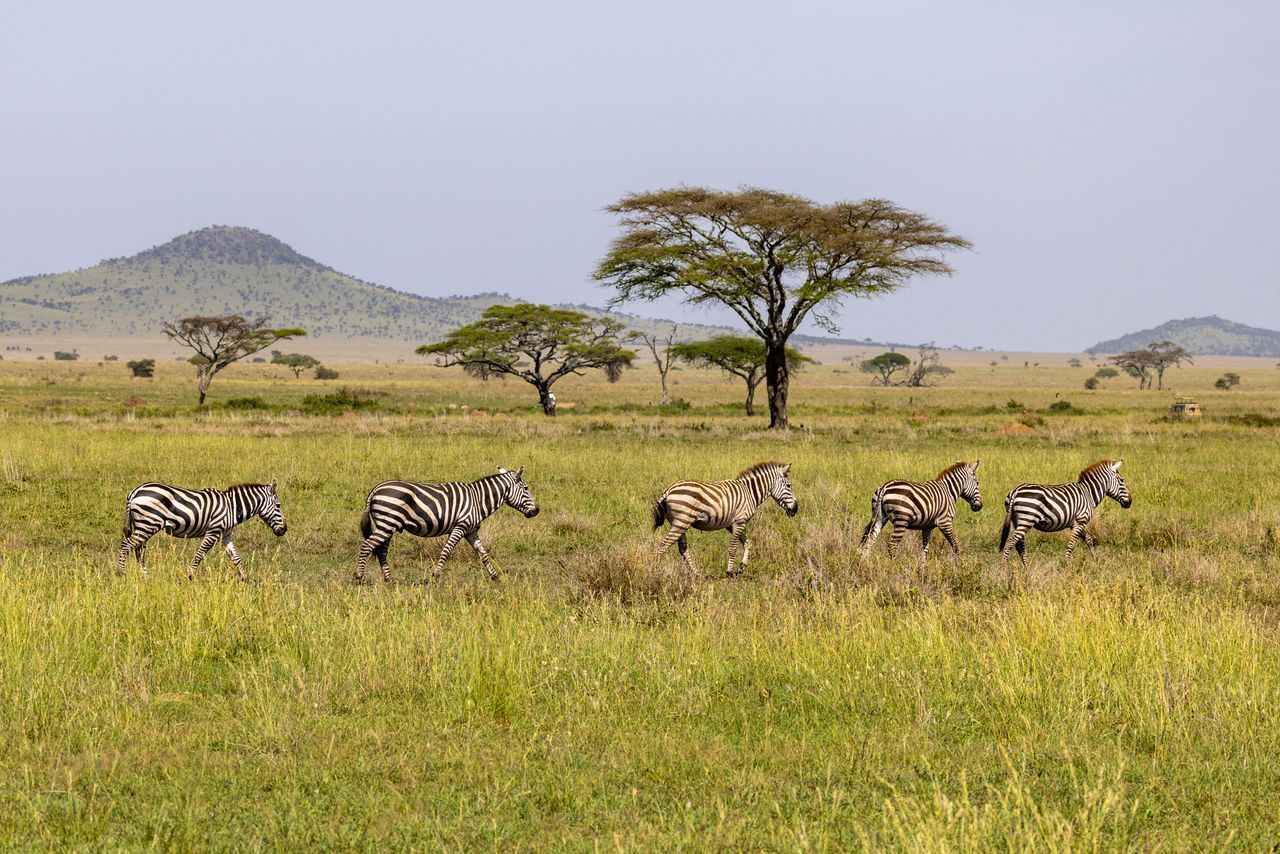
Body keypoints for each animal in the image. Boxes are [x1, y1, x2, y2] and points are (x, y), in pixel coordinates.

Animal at [117, 480, 287, 580]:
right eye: (278, 506)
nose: (284, 530)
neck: (232, 507)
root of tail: (135, 491)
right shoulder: (214, 531)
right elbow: (200, 554)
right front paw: (190, 576)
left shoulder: (226, 535)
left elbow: (236, 558)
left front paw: (246, 579)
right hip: (148, 523)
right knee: (127, 546)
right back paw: (121, 574)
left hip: (143, 525)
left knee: (138, 550)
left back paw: (145, 577)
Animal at [355, 466, 539, 584]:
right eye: (526, 488)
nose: (537, 510)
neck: (478, 499)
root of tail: (376, 489)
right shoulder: (460, 527)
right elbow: (446, 550)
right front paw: (437, 576)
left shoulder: (471, 531)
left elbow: (483, 554)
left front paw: (495, 577)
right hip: (387, 524)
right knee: (367, 546)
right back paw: (358, 577)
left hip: (388, 526)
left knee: (381, 550)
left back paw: (389, 579)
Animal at [652, 461, 798, 577]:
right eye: (789, 486)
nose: (796, 509)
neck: (750, 492)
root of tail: (668, 490)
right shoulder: (740, 521)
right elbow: (733, 547)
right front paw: (730, 572)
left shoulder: (732, 524)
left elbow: (748, 543)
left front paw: (741, 568)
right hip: (681, 521)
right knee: (663, 545)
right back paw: (655, 573)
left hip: (679, 522)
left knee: (682, 548)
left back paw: (697, 573)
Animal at [999, 459, 1132, 565]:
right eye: (1122, 480)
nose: (1130, 502)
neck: (1088, 493)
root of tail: (1015, 491)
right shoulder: (1081, 520)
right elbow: (1072, 543)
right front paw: (1066, 565)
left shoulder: (1076, 523)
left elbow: (1089, 540)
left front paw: (1096, 561)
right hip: (1026, 520)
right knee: (1011, 542)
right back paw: (1004, 567)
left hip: (1018, 521)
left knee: (1019, 544)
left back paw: (1026, 568)